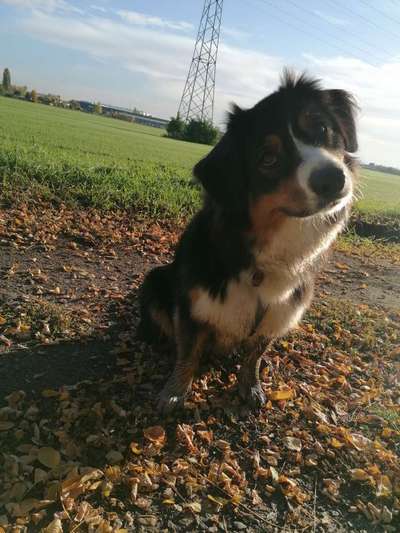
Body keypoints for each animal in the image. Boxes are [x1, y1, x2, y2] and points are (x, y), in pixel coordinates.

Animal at [139, 69, 358, 412]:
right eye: (268, 159)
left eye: (322, 128)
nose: (333, 179)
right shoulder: (192, 305)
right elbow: (187, 355)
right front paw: (174, 393)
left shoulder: (279, 312)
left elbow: (254, 355)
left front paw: (250, 386)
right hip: (155, 280)